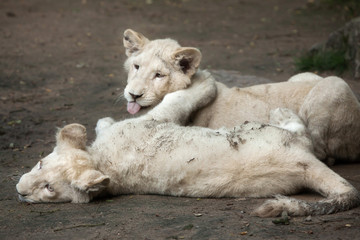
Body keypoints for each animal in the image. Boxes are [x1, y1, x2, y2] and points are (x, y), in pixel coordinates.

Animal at [16, 75, 360, 218]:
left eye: (46, 182)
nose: (19, 191)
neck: (101, 161)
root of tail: (303, 164)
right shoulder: (155, 119)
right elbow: (179, 98)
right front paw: (204, 82)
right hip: (272, 133)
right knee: (303, 133)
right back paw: (282, 113)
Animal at [121, 28, 360, 163]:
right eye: (136, 66)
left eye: (159, 75)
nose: (133, 95)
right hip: (303, 75)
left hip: (334, 84)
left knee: (321, 151)